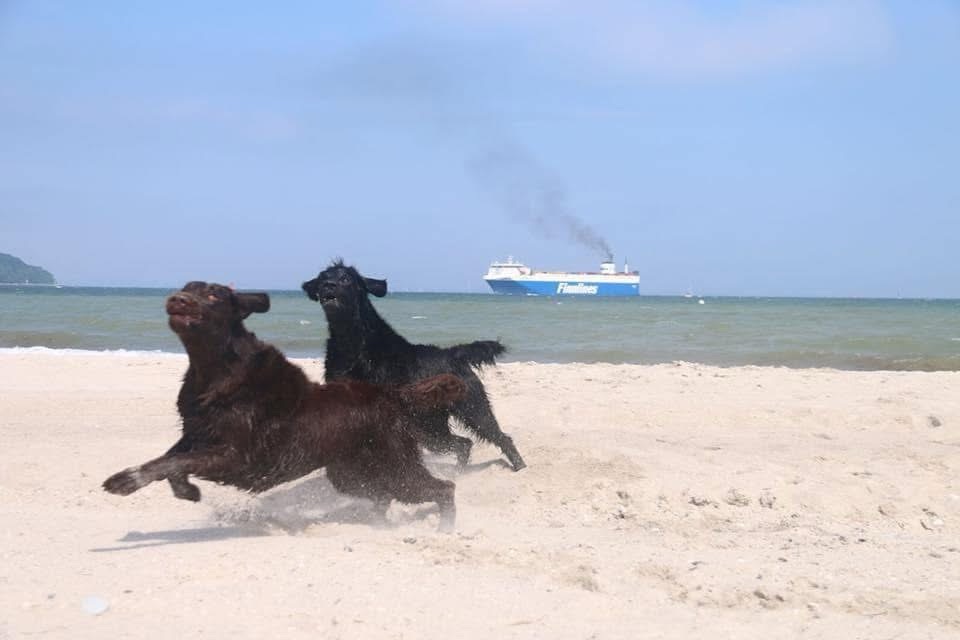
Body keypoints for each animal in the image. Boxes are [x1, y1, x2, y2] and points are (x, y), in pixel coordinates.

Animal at [103, 281, 463, 530]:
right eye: (186, 288)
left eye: (213, 295)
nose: (176, 299)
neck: (215, 370)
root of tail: (393, 395)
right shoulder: (197, 435)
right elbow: (171, 458)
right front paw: (185, 490)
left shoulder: (238, 456)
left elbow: (174, 461)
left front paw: (127, 479)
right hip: (351, 474)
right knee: (385, 496)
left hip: (395, 467)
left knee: (444, 488)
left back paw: (445, 529)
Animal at [302, 261, 526, 471]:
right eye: (323, 278)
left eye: (346, 278)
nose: (328, 286)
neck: (353, 342)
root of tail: (453, 353)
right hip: (430, 427)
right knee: (463, 443)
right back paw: (458, 472)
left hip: (471, 409)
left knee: (499, 437)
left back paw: (519, 466)